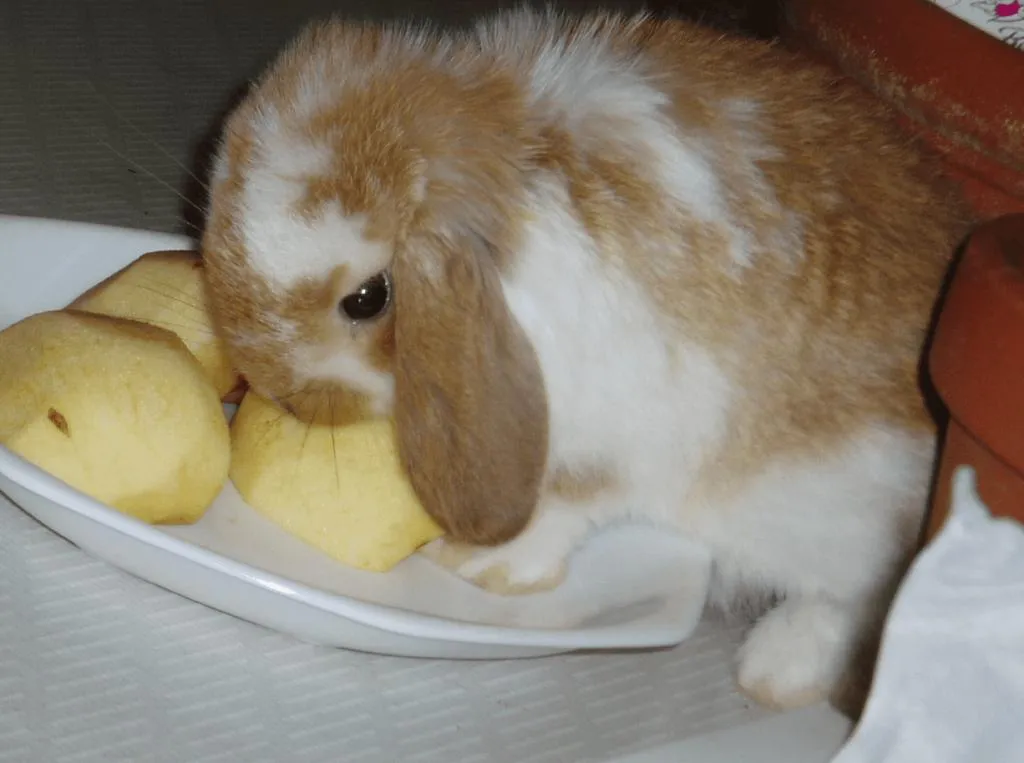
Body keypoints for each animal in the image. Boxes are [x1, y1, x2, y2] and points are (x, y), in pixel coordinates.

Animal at [197, 7, 966, 708]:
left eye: (367, 298)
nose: (283, 393)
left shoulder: (618, 429)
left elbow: (569, 504)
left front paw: (480, 566)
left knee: (849, 603)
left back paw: (771, 672)